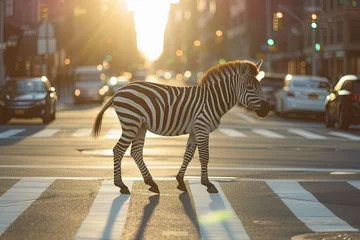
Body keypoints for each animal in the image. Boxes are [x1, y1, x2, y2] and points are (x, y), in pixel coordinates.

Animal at [91, 59, 268, 194]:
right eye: (250, 87)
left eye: (260, 86)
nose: (267, 108)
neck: (212, 99)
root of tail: (119, 91)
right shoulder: (202, 128)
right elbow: (204, 156)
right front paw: (208, 184)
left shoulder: (195, 130)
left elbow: (188, 155)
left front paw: (180, 181)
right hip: (131, 123)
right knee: (118, 150)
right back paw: (121, 185)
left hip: (140, 125)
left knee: (135, 152)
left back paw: (151, 183)